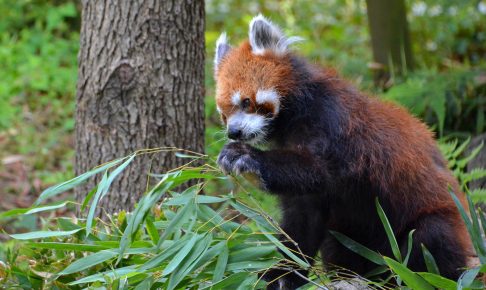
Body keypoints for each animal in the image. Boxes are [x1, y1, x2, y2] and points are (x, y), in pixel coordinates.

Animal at [214, 14, 474, 288]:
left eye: (246, 102)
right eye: (224, 114)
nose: (234, 132)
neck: (295, 113)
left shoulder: (335, 125)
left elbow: (319, 171)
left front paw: (245, 156)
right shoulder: (306, 197)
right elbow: (302, 221)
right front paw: (282, 274)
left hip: (439, 221)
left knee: (430, 238)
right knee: (338, 240)